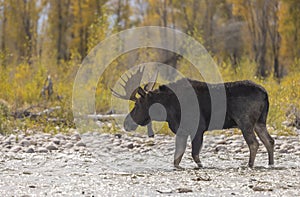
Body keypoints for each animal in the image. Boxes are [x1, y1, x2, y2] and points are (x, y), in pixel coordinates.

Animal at [111, 67, 276, 169]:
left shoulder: (198, 128)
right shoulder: (182, 131)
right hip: (260, 122)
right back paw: (270, 163)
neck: (167, 110)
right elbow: (177, 158)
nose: (126, 123)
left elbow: (194, 154)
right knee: (269, 141)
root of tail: (266, 94)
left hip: (245, 121)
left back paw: (249, 165)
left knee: (254, 143)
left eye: (137, 104)